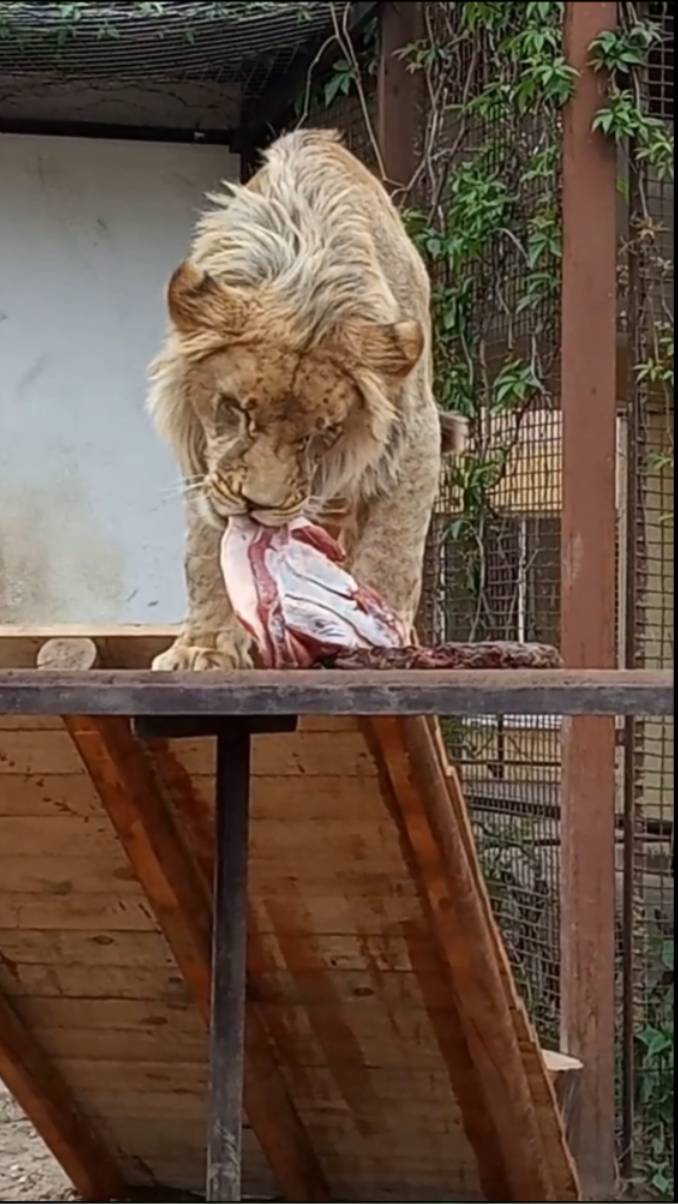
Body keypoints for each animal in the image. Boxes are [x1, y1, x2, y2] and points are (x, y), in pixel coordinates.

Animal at [147, 129, 465, 670]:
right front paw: (202, 647)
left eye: (324, 433)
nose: (258, 507)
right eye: (237, 410)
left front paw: (384, 634)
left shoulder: (413, 440)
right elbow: (205, 550)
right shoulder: (202, 463)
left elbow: (393, 546)